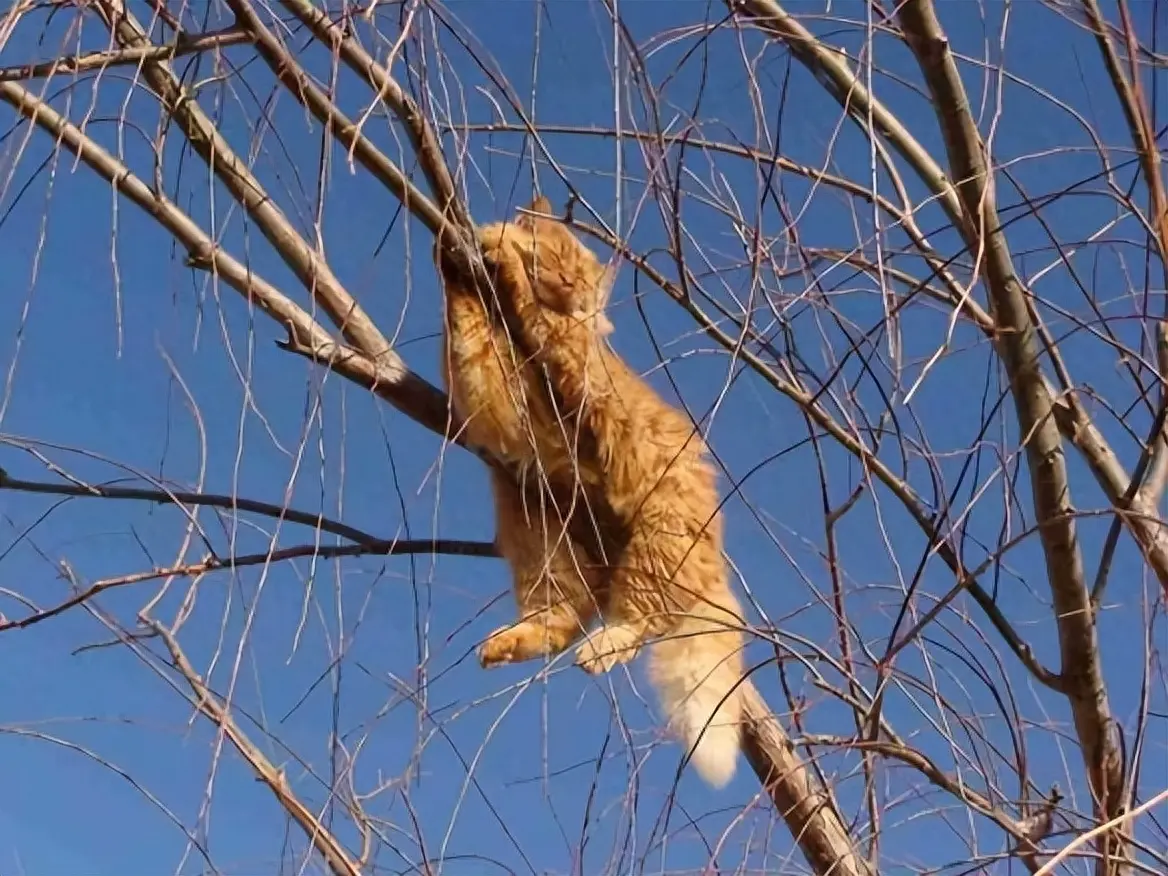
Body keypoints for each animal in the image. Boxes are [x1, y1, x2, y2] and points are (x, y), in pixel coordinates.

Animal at [434, 200, 742, 789]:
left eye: (580, 277)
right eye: (558, 260)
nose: (573, 287)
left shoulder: (567, 360)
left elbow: (540, 319)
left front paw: (504, 265)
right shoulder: (490, 394)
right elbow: (463, 325)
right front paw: (461, 256)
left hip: (653, 544)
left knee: (634, 621)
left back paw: (602, 648)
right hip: (540, 532)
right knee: (564, 616)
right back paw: (510, 642)